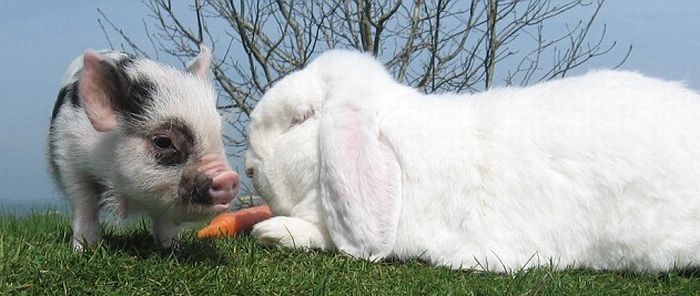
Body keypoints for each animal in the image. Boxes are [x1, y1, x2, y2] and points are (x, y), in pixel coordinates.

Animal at [48, 46, 241, 250]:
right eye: (163, 141)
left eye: (219, 135)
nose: (229, 177)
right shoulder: (69, 159)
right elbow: (85, 207)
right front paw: (84, 250)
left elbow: (166, 222)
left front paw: (172, 248)